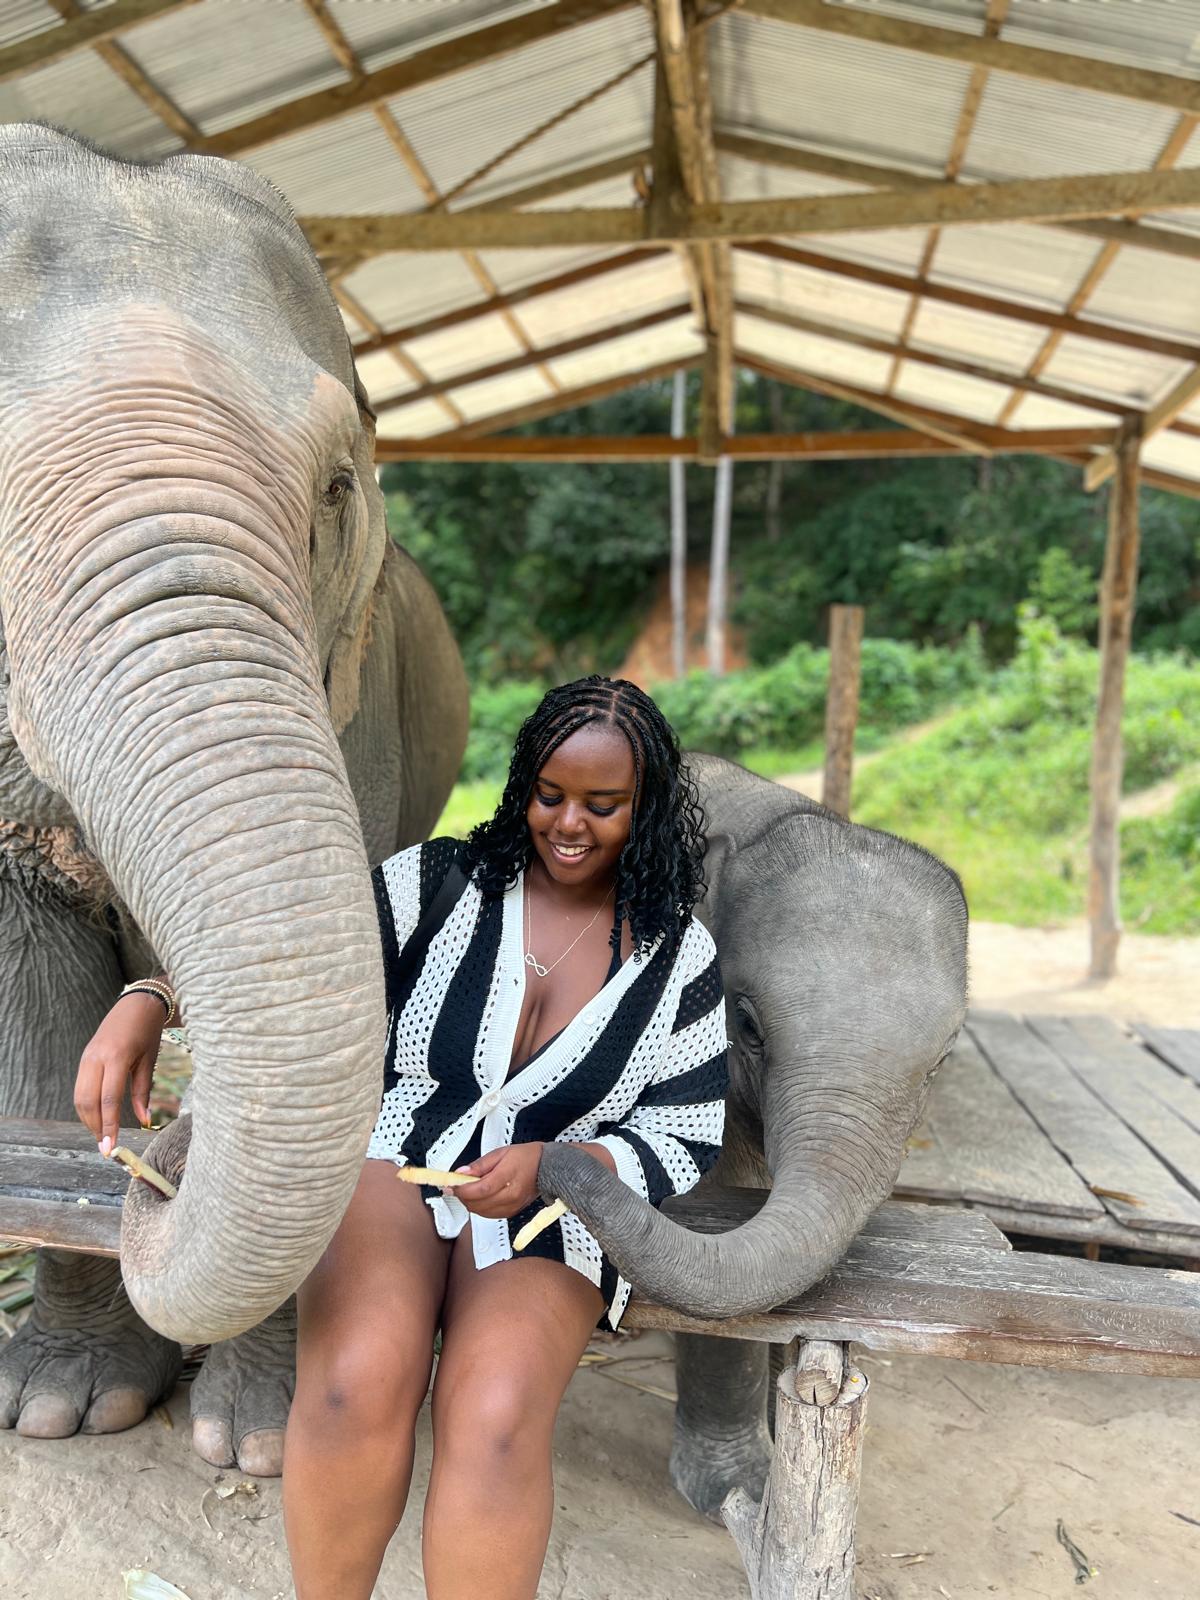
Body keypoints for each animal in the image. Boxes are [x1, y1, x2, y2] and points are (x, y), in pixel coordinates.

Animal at [0, 124, 467, 1472]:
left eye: (338, 489)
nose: (155, 1144)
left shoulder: (354, 706)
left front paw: (260, 1445)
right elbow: (31, 1006)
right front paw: (65, 1406)